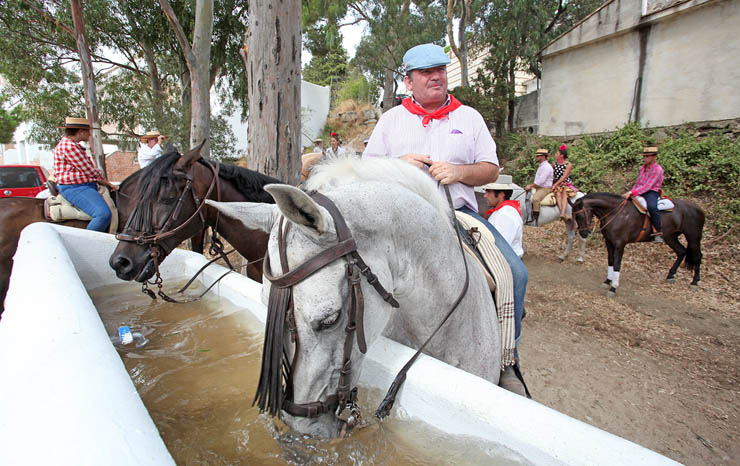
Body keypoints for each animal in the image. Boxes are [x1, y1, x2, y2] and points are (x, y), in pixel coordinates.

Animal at [572, 194, 704, 298]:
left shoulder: (620, 244)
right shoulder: (609, 241)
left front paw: (613, 288)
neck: (616, 213)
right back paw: (671, 275)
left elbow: (617, 264)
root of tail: (698, 208)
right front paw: (608, 281)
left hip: (693, 237)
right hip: (670, 237)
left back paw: (694, 282)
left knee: (697, 256)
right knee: (681, 251)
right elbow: (610, 260)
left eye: (580, 216)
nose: (584, 233)